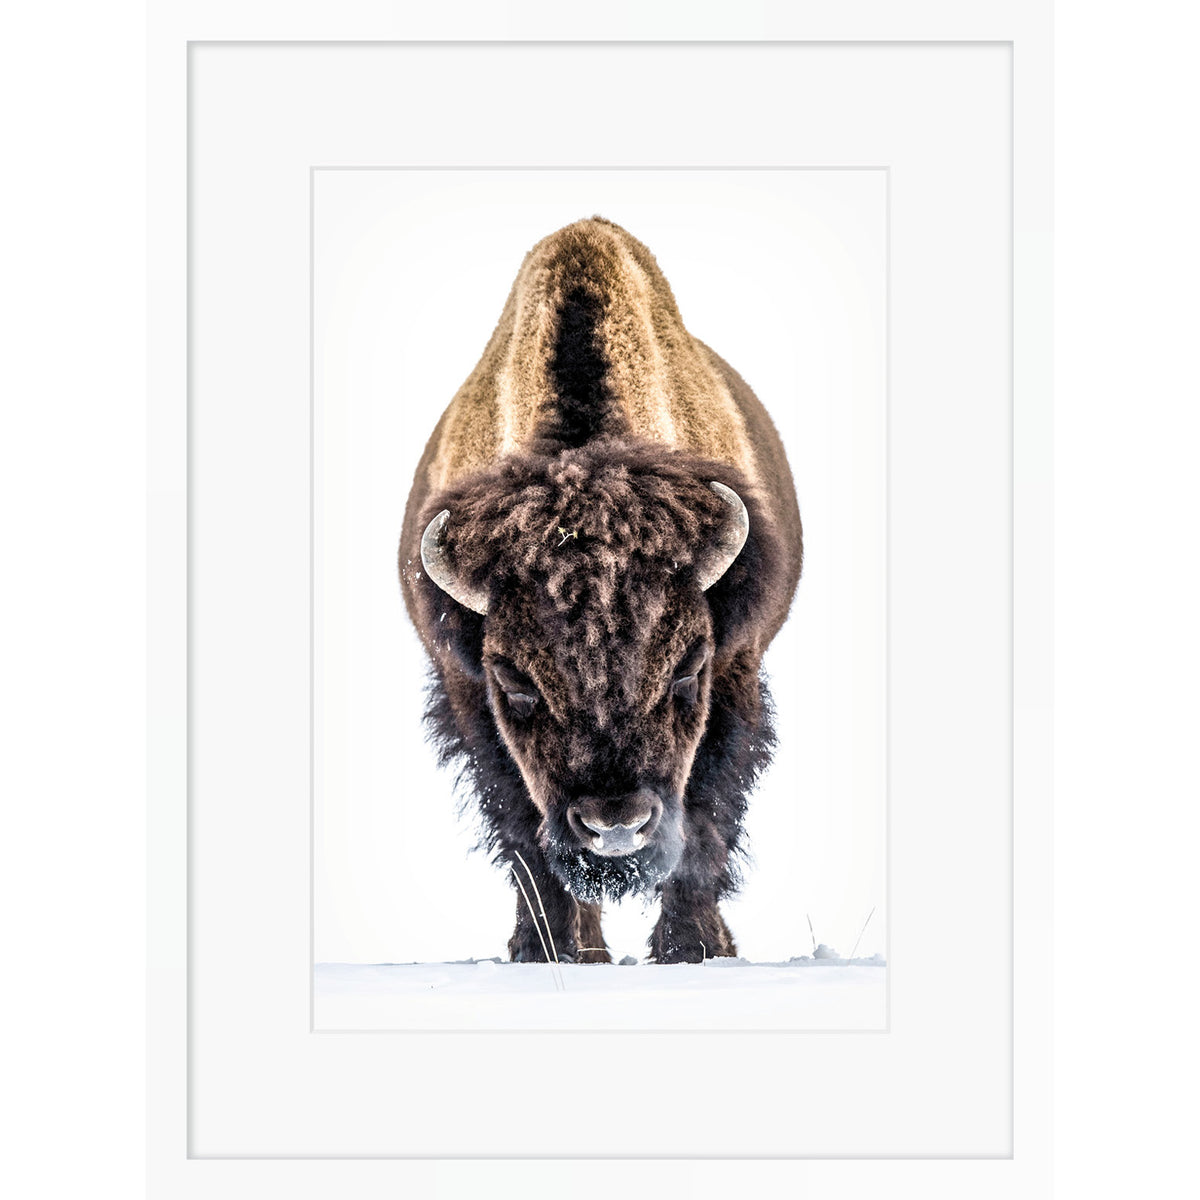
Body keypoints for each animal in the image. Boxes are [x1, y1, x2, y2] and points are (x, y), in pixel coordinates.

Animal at [399, 217, 802, 964]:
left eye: (688, 670)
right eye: (516, 681)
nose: (615, 825)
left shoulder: (736, 669)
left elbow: (705, 819)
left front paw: (691, 948)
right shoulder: (467, 694)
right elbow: (525, 836)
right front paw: (548, 951)